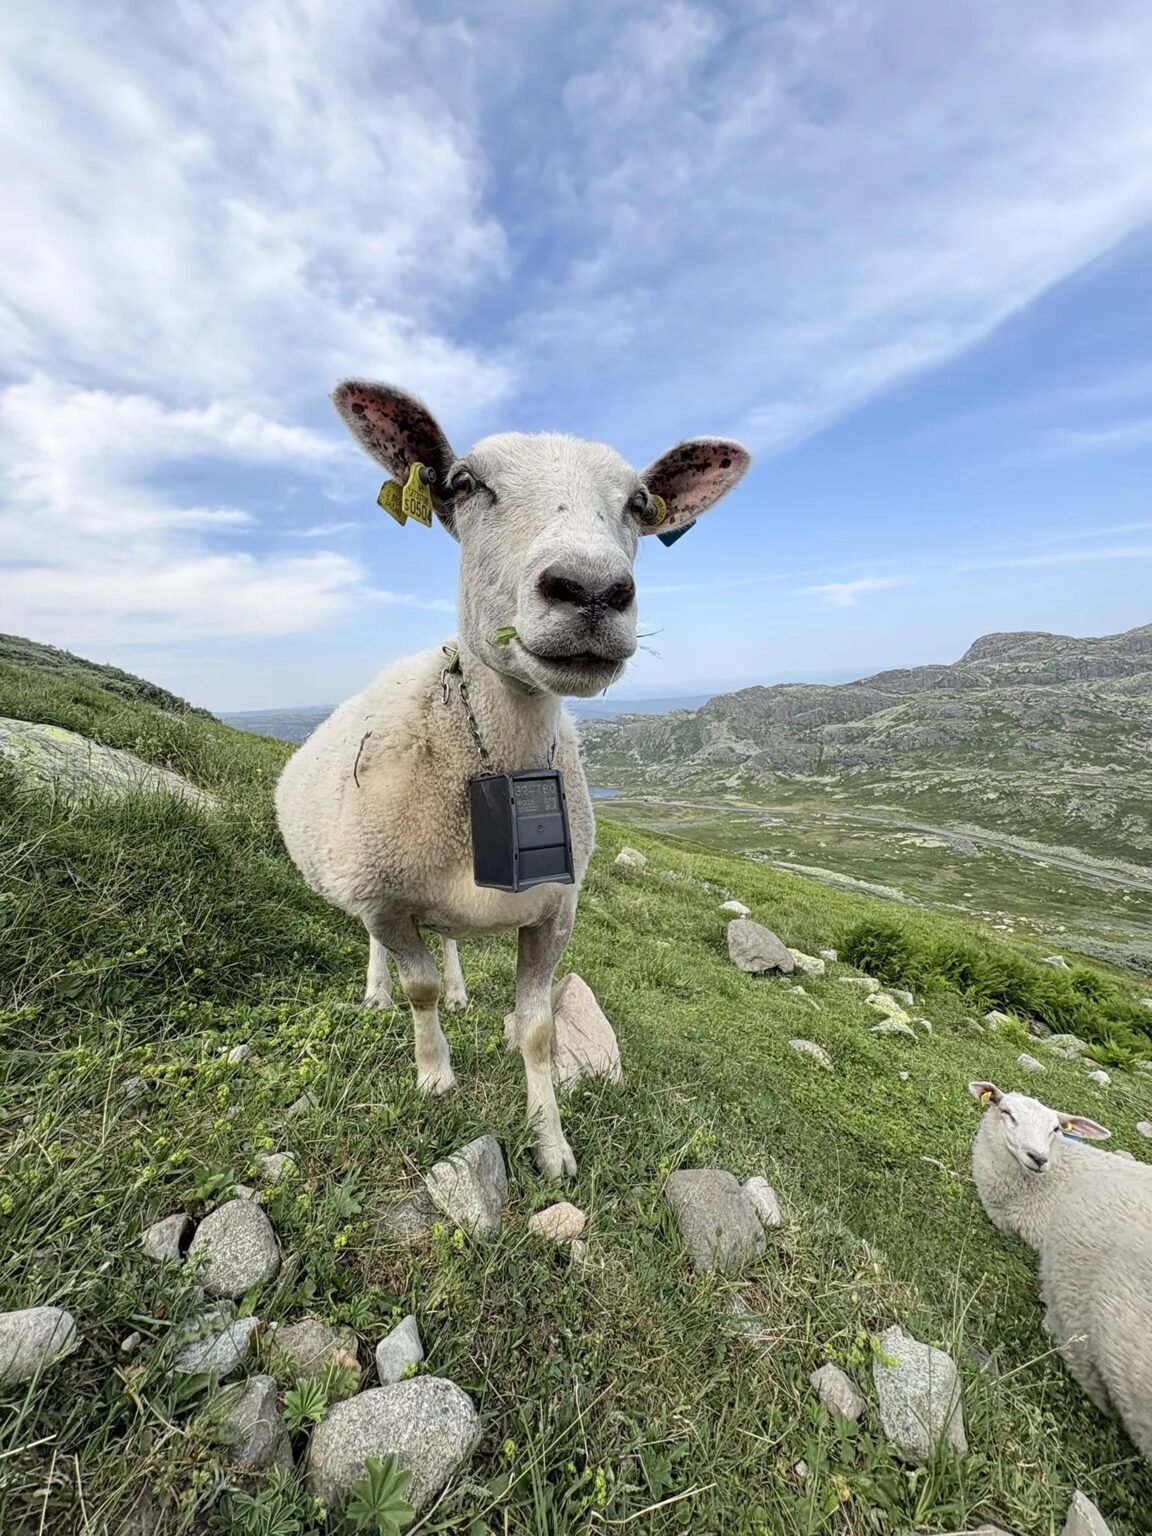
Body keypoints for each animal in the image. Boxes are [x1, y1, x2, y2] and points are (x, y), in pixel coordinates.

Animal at [276, 381, 748, 1177]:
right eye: (465, 484)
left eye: (638, 502)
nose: (592, 590)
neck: (498, 764)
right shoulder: (384, 899)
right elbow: (419, 986)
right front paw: (435, 1075)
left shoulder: (556, 913)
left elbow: (537, 1031)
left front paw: (551, 1144)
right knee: (382, 950)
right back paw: (379, 994)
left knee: (451, 941)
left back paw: (463, 988)